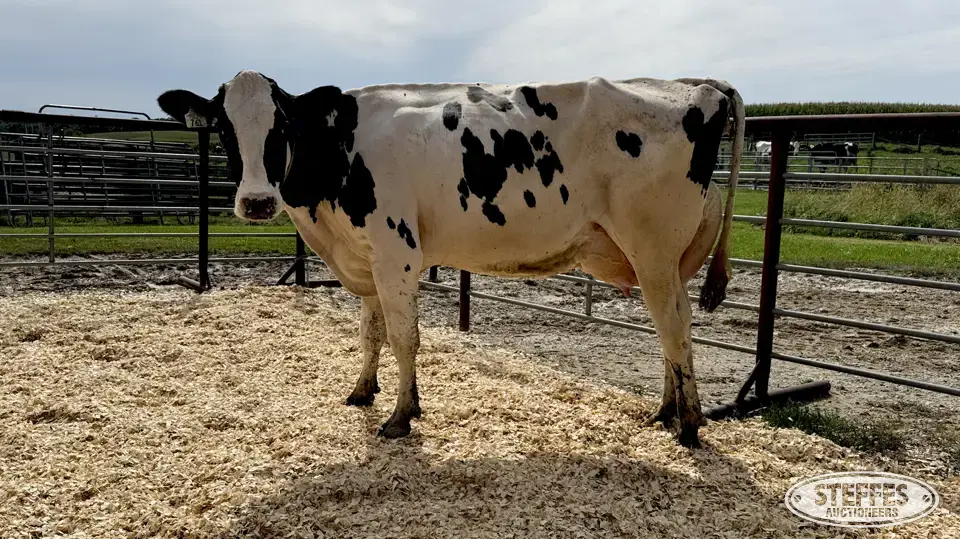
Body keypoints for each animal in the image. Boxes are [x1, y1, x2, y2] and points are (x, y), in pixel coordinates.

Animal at [156, 70, 745, 448]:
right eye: (224, 127)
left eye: (283, 126)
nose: (257, 201)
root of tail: (698, 85)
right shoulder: (366, 258)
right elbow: (369, 334)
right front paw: (362, 392)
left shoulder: (395, 251)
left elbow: (403, 338)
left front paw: (401, 416)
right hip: (659, 259)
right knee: (668, 329)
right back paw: (666, 412)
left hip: (653, 247)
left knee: (676, 327)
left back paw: (689, 426)